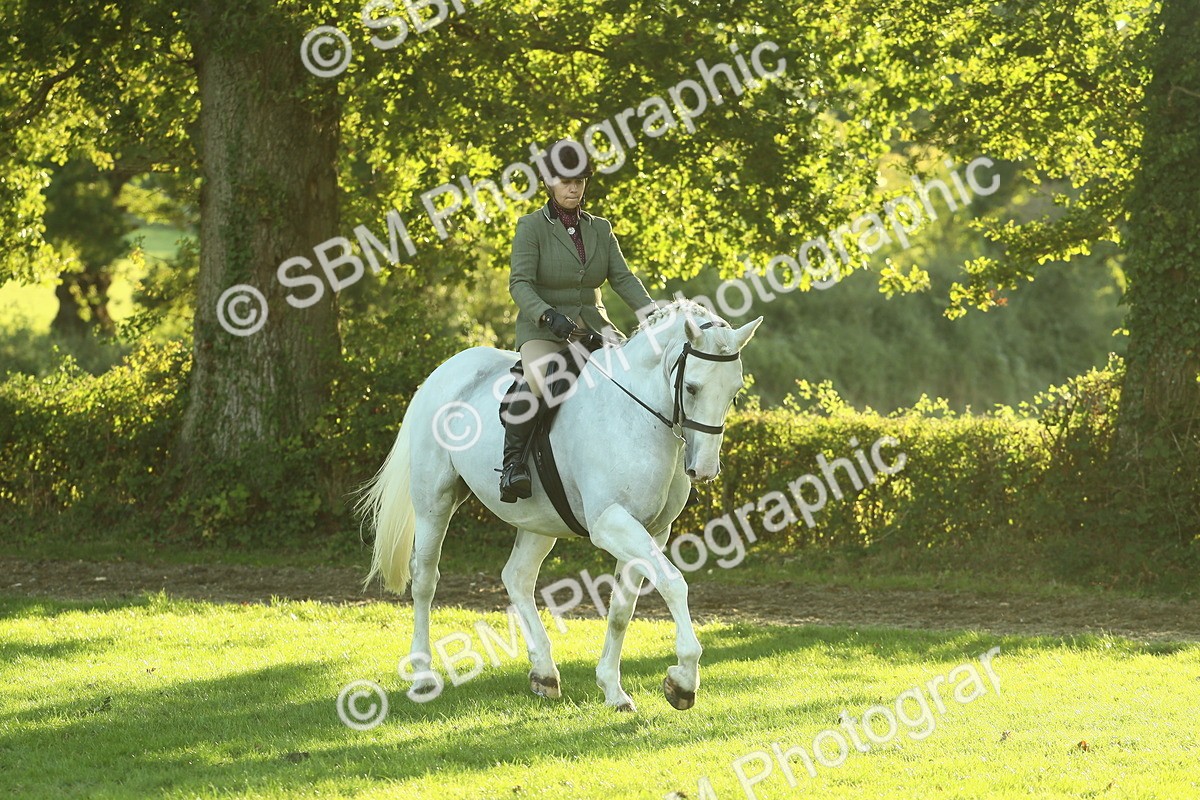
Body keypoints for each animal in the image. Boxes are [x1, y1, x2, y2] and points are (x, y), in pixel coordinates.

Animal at [358, 298, 762, 712]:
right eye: (693, 388)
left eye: (733, 391)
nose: (705, 470)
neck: (635, 414)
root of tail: (443, 372)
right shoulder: (611, 524)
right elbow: (672, 583)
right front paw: (683, 681)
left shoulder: (652, 530)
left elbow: (621, 609)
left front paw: (613, 689)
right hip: (434, 502)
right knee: (425, 579)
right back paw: (423, 675)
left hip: (539, 519)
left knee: (517, 577)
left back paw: (544, 673)